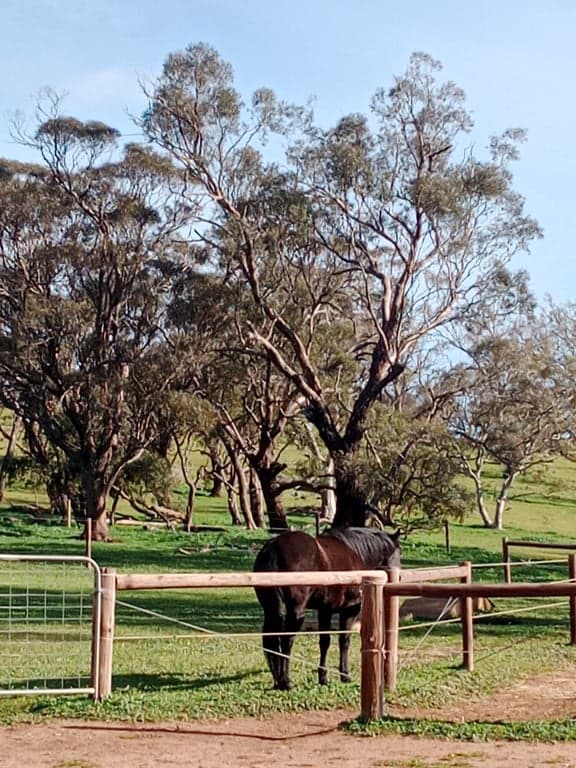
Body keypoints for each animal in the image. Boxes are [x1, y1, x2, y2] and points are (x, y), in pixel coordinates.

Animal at [253, 527, 401, 690]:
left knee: (271, 641)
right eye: (399, 552)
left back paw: (277, 681)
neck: (356, 552)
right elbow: (343, 640)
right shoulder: (349, 610)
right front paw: (344, 675)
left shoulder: (324, 610)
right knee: (286, 640)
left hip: (270, 610)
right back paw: (286, 681)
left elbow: (324, 642)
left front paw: (323, 677)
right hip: (296, 612)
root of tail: (274, 547)